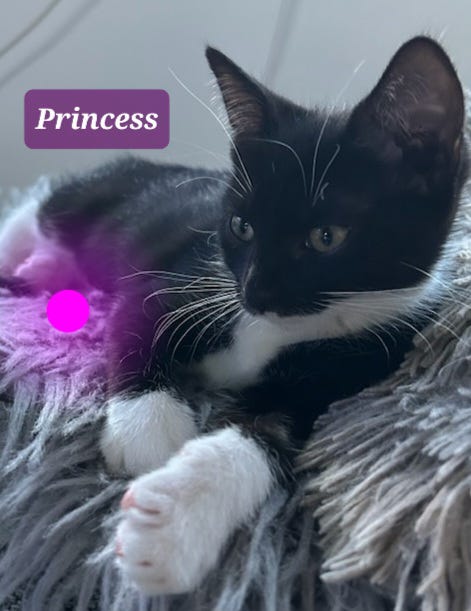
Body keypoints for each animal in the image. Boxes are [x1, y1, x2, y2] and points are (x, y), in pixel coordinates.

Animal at [0, 36, 468, 595]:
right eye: (241, 227)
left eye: (326, 237)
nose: (255, 292)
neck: (276, 331)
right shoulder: (185, 279)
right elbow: (134, 325)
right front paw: (149, 431)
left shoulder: (362, 359)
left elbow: (270, 433)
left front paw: (175, 522)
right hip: (87, 197)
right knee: (35, 213)